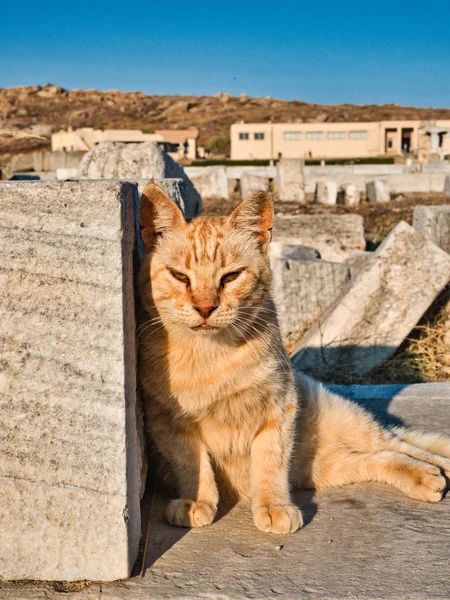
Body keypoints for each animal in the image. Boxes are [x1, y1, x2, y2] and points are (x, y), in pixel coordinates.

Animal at [138, 183, 450, 536]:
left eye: (230, 277)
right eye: (179, 276)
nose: (205, 308)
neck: (211, 355)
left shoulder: (279, 409)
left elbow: (270, 463)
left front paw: (273, 506)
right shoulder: (167, 423)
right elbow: (192, 465)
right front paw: (196, 501)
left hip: (350, 423)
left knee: (401, 443)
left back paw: (437, 469)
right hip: (331, 466)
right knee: (380, 456)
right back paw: (422, 477)